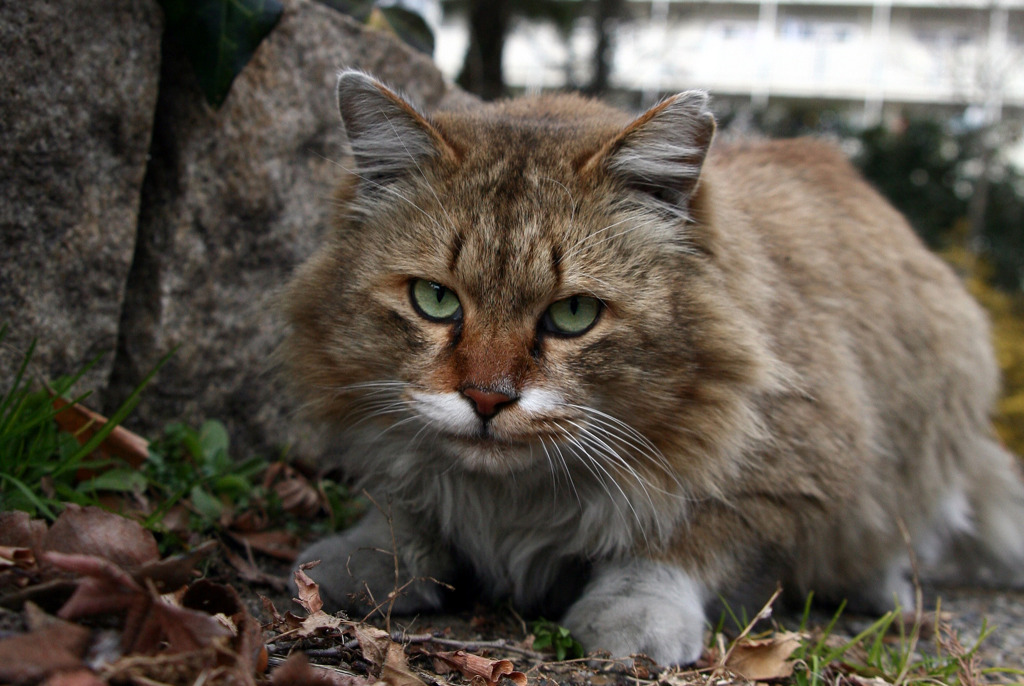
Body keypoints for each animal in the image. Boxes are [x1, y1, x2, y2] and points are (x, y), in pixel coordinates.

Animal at [282, 71, 1024, 667]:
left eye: (574, 314)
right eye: (435, 300)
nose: (487, 399)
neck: (513, 503)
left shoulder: (787, 469)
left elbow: (680, 543)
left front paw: (634, 619)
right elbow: (404, 509)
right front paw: (357, 563)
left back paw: (886, 587)